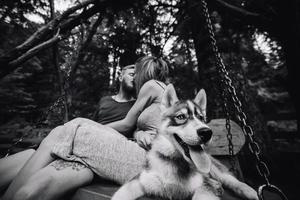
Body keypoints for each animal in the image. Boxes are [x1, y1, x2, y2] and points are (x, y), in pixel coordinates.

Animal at [111, 84, 256, 200]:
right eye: (181, 117)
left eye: (201, 118)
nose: (206, 132)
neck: (176, 162)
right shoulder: (141, 180)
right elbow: (121, 194)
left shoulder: (203, 187)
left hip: (214, 168)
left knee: (230, 179)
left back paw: (249, 191)